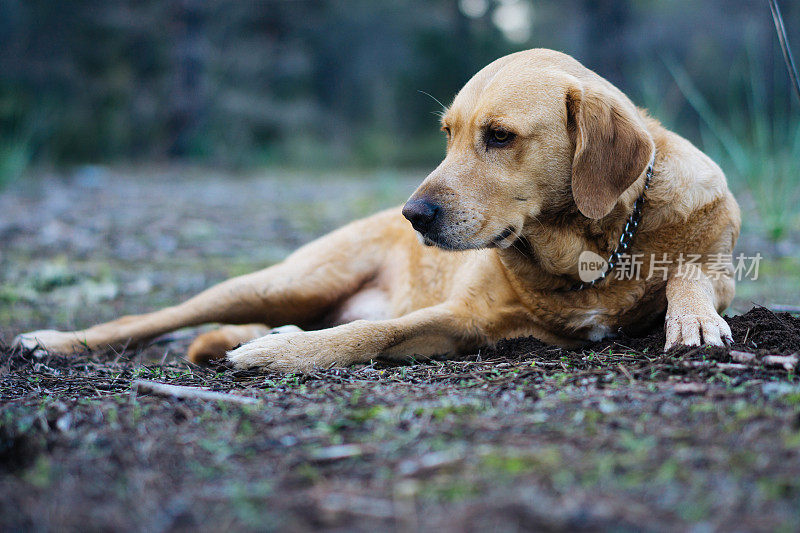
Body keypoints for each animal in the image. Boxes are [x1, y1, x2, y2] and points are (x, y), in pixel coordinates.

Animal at [14, 51, 736, 374]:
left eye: (499, 136)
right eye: (447, 133)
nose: (413, 214)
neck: (586, 252)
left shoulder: (716, 263)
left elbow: (689, 269)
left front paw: (693, 318)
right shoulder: (462, 317)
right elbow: (367, 333)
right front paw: (280, 355)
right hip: (287, 281)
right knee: (157, 317)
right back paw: (56, 339)